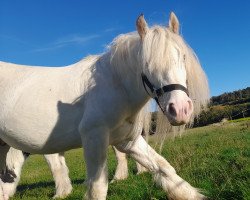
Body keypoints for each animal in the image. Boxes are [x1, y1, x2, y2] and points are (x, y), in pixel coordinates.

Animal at [0, 12, 209, 198]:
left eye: (183, 57)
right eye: (146, 64)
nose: (180, 110)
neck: (115, 84)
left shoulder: (128, 141)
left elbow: (164, 169)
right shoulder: (93, 137)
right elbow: (97, 187)